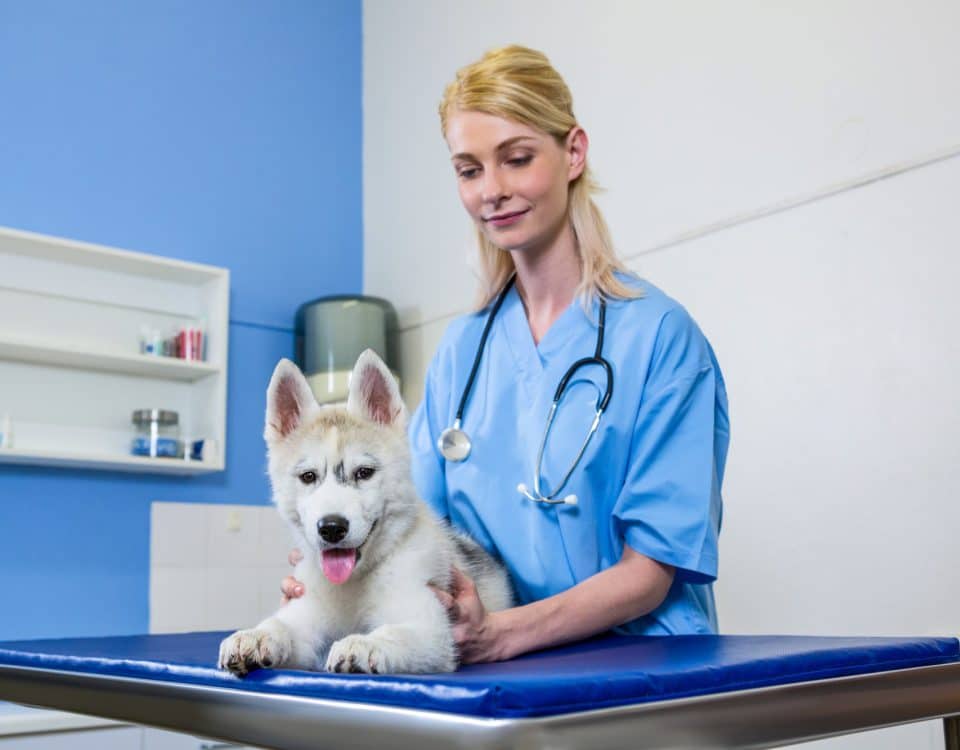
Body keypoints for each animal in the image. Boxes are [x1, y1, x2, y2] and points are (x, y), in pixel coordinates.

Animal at [218, 352, 512, 676]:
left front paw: (364, 644)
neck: (354, 583)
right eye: (308, 476)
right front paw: (256, 636)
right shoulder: (306, 616)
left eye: (364, 473)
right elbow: (280, 624)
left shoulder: (431, 628)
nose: (331, 527)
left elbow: (395, 632)